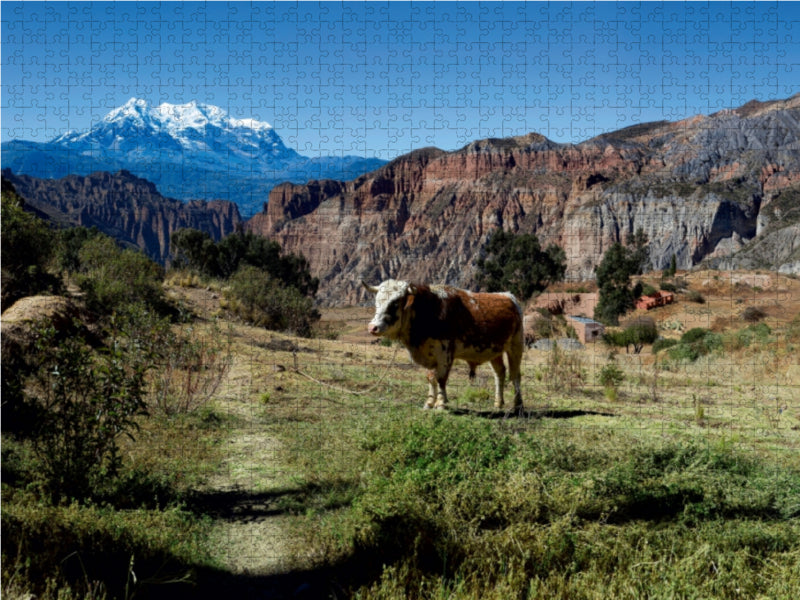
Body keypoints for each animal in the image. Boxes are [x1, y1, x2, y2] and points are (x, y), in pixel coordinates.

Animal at [362, 278, 524, 410]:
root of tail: (507, 295)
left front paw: (440, 403)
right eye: (377, 302)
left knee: (515, 374)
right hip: (494, 350)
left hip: (516, 346)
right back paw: (498, 403)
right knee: (500, 373)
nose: (372, 327)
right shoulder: (429, 355)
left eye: (395, 303)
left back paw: (518, 405)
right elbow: (430, 378)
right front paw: (429, 403)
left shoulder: (445, 354)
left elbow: (440, 379)